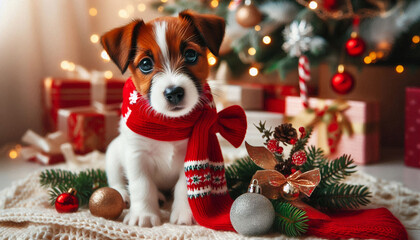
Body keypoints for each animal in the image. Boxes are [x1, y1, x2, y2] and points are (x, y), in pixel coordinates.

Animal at [101, 9, 225, 227]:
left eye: (190, 55)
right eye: (145, 64)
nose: (174, 92)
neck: (168, 124)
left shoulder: (193, 152)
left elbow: (184, 186)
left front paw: (185, 214)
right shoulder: (137, 155)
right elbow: (142, 185)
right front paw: (143, 214)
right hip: (113, 153)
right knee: (116, 179)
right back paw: (123, 194)